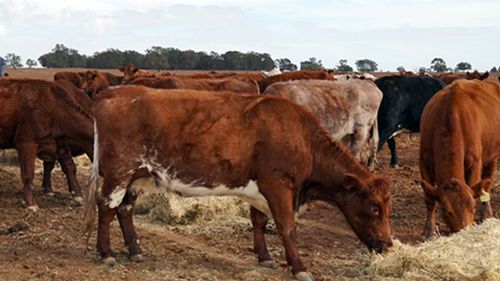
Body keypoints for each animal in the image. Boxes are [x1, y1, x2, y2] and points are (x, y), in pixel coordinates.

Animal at [0, 77, 94, 209]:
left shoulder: (60, 145)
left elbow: (69, 167)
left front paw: (77, 196)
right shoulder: (26, 143)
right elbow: (28, 174)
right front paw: (30, 203)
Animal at [84, 86, 392, 280]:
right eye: (374, 208)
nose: (388, 244)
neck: (301, 138)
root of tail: (112, 92)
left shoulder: (259, 190)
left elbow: (259, 221)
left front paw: (264, 257)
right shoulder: (278, 185)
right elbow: (287, 226)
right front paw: (299, 267)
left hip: (138, 177)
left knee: (125, 210)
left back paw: (135, 251)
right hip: (119, 172)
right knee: (106, 206)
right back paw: (106, 252)